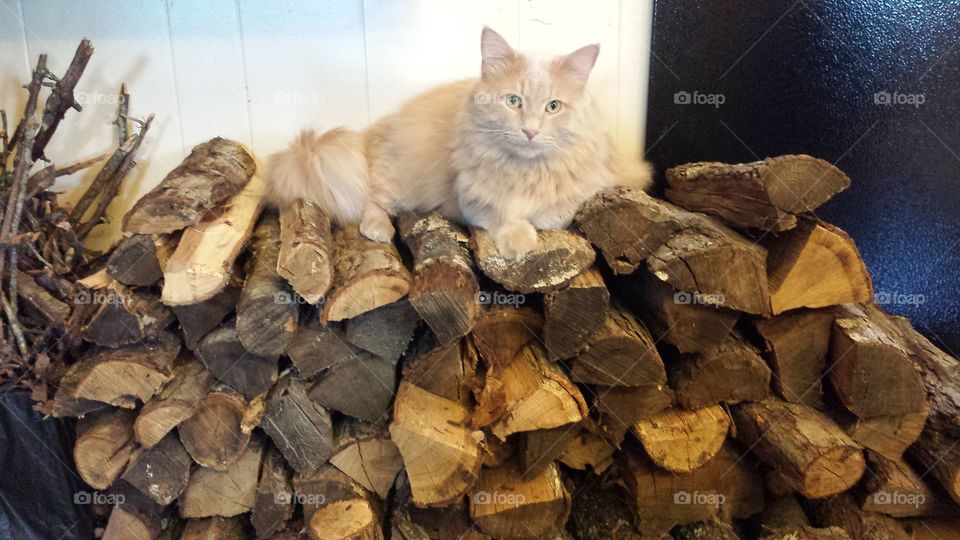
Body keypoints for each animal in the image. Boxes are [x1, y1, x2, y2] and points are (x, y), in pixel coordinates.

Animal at [264, 26, 652, 260]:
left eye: (553, 107)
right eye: (513, 101)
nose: (530, 130)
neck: (524, 170)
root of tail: (376, 128)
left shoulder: (589, 188)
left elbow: (549, 214)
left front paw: (526, 229)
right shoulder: (470, 200)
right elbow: (504, 214)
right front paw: (516, 240)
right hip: (399, 181)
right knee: (370, 201)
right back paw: (379, 230)